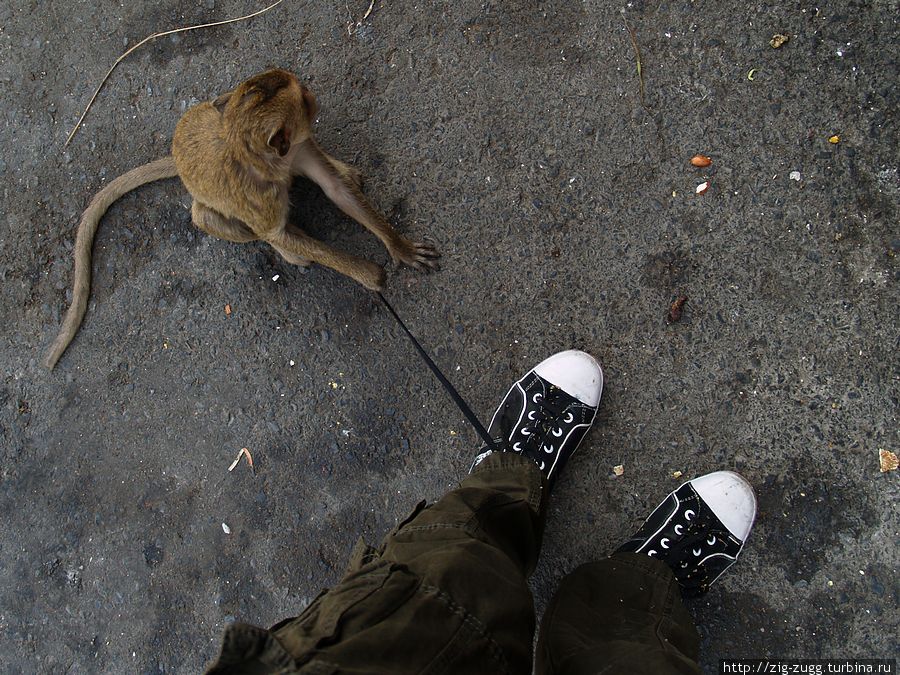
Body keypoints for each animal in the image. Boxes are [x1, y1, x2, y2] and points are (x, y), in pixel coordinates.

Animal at [44, 70, 440, 370]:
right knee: (208, 217)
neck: (255, 154)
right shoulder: (262, 199)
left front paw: (399, 247)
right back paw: (292, 251)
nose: (314, 93)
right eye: (305, 99)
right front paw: (370, 275)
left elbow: (336, 190)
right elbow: (275, 232)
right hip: (210, 208)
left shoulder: (298, 147)